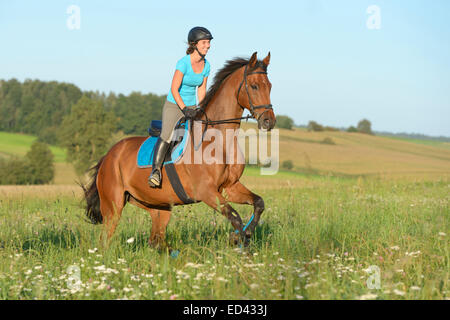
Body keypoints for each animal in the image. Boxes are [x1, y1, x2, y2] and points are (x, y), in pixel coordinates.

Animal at [82, 52, 276, 248]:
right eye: (254, 86)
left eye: (269, 86)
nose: (269, 121)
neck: (219, 140)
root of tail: (108, 156)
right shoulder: (207, 191)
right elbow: (235, 216)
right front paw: (238, 239)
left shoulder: (230, 187)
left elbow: (259, 203)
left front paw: (246, 233)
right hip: (113, 206)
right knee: (105, 240)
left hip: (158, 207)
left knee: (156, 241)